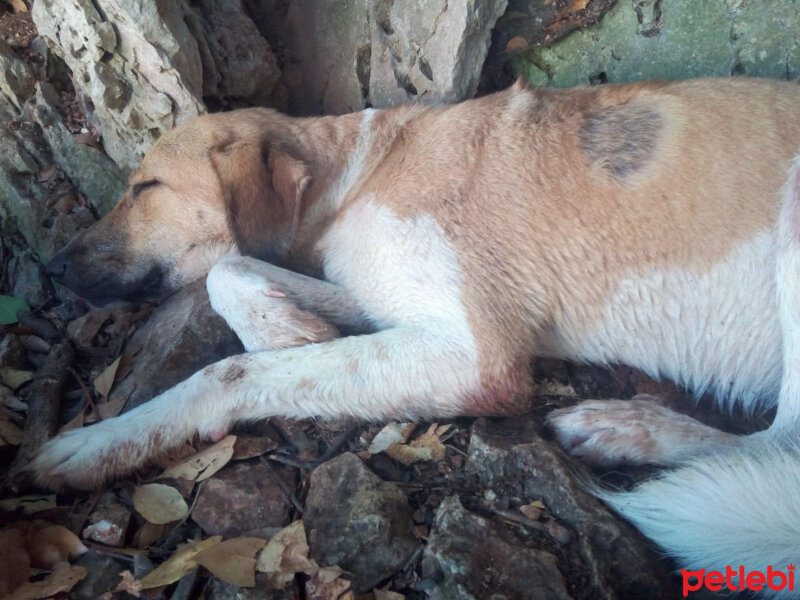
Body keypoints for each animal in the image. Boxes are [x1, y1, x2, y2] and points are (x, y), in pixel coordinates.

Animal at [36, 77, 800, 588]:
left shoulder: (474, 356)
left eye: (146, 188)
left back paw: (628, 428)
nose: (55, 264)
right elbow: (232, 269)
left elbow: (230, 369)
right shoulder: (377, 300)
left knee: (777, 442)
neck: (355, 172)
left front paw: (96, 444)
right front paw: (286, 325)